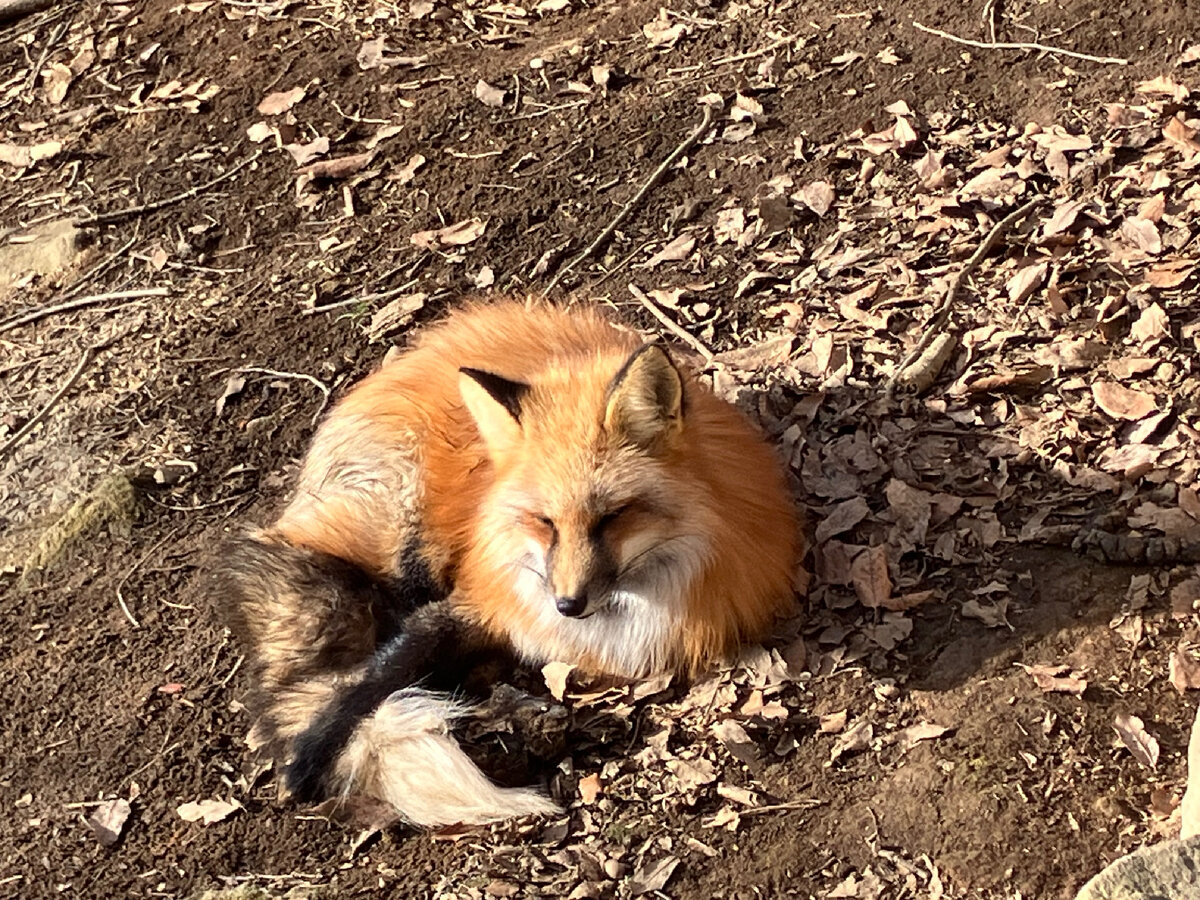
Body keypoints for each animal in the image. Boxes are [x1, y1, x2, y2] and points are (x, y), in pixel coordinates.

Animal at [220, 301, 801, 830]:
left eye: (612, 517)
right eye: (544, 522)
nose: (567, 605)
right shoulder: (475, 601)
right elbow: (382, 671)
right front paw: (309, 756)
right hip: (401, 543)